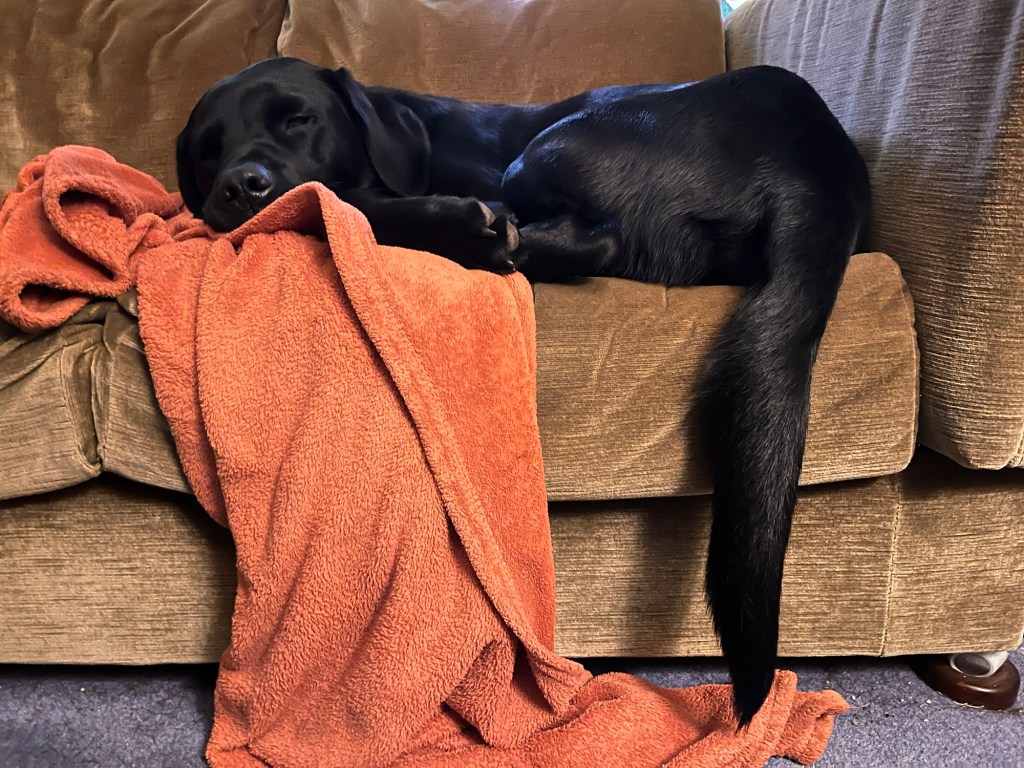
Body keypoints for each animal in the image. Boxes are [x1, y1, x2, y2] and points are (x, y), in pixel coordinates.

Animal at [176, 56, 871, 726]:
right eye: (208, 151)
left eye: (297, 120)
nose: (238, 186)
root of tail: (822, 167)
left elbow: (341, 197)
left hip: (557, 143)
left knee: (587, 233)